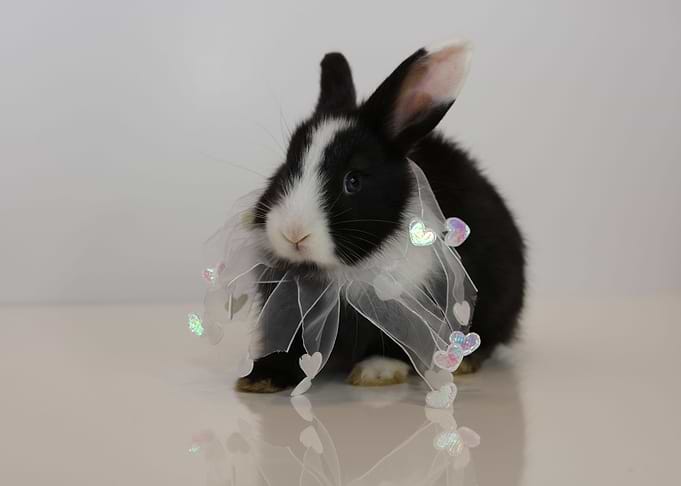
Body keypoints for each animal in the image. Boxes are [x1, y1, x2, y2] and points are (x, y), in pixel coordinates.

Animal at [236, 40, 525, 393]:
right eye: (287, 167)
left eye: (354, 180)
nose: (293, 234)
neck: (346, 271)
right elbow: (291, 348)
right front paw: (259, 377)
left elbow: (396, 346)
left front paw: (376, 372)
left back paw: (465, 363)